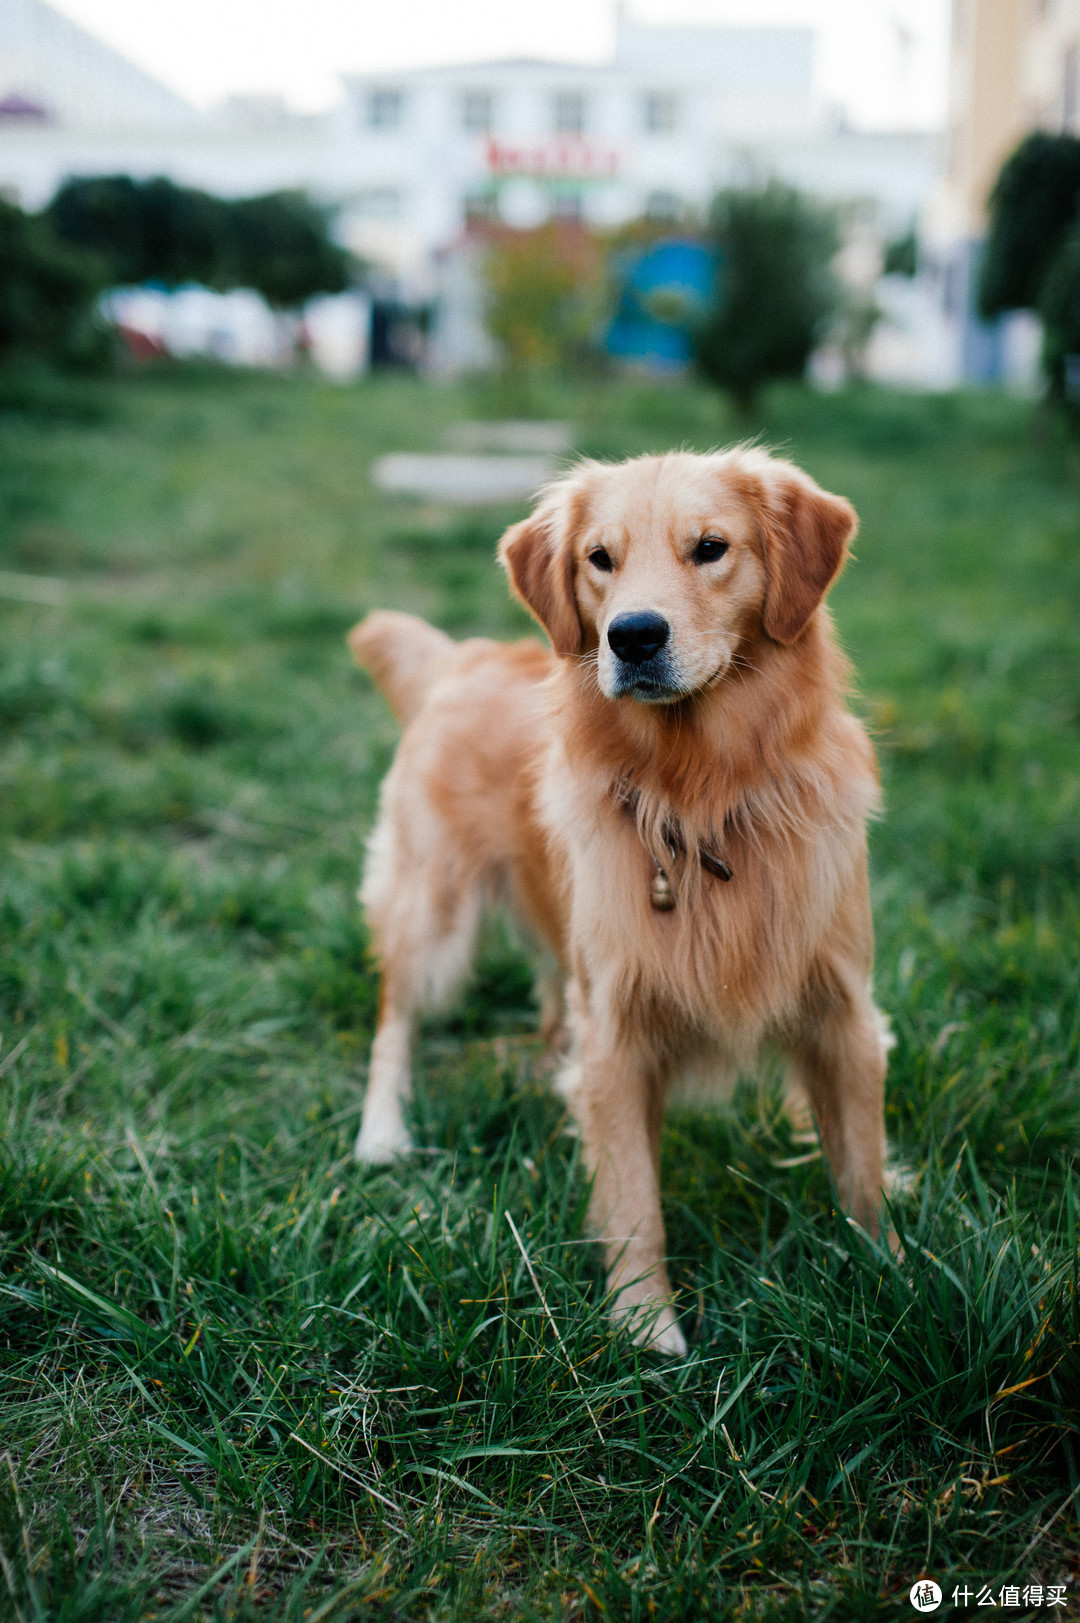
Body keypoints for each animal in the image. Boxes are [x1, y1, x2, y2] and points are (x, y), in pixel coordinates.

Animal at [349, 447, 889, 1356]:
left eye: (710, 547)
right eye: (599, 558)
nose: (632, 634)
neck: (703, 791)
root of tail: (466, 655)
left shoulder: (843, 1011)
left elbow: (863, 1171)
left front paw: (896, 1281)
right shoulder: (618, 1033)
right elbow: (636, 1199)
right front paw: (647, 1328)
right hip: (435, 913)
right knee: (395, 1020)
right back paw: (382, 1132)